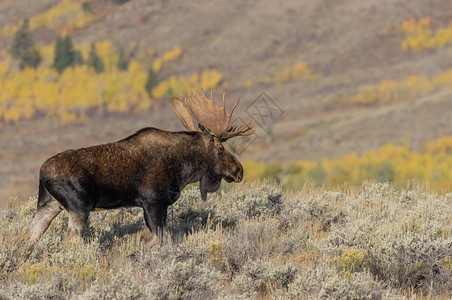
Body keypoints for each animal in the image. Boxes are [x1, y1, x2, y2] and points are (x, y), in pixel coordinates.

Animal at [28, 89, 254, 246]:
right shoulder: (152, 201)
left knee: (30, 237)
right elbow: (157, 239)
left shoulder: (159, 205)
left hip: (48, 205)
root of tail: (43, 172)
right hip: (78, 207)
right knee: (69, 240)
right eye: (220, 150)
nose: (239, 171)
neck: (184, 168)